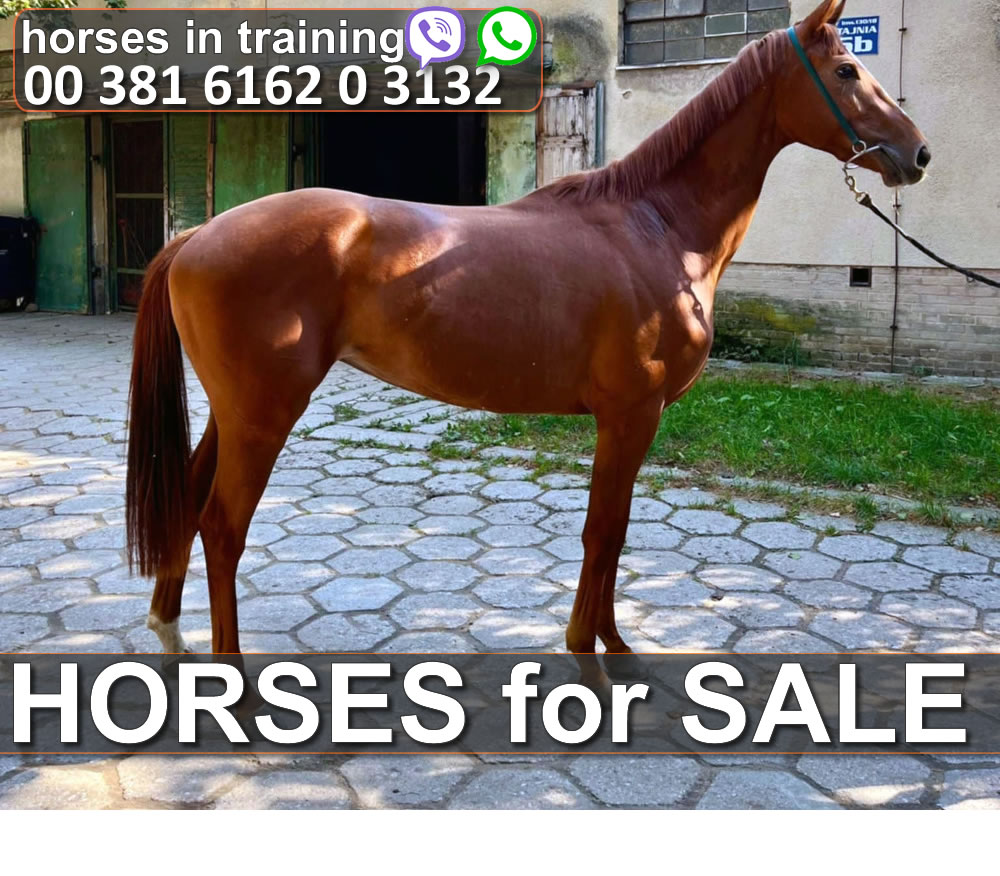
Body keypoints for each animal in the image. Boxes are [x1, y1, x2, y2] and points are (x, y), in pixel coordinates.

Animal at [126, 0, 929, 686]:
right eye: (847, 71)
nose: (917, 154)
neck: (656, 224)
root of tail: (199, 234)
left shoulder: (630, 420)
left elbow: (612, 531)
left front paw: (606, 642)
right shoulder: (631, 415)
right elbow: (604, 532)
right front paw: (594, 653)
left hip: (236, 412)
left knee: (187, 500)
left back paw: (171, 632)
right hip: (264, 413)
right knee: (222, 526)